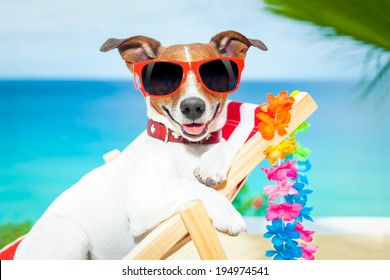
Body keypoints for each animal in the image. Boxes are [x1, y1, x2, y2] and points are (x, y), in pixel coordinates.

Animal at [13, 29, 266, 260]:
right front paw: (227, 213)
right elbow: (189, 184)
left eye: (213, 74)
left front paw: (210, 165)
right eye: (165, 78)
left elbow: (223, 145)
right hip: (71, 235)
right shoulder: (143, 205)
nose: (193, 107)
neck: (187, 148)